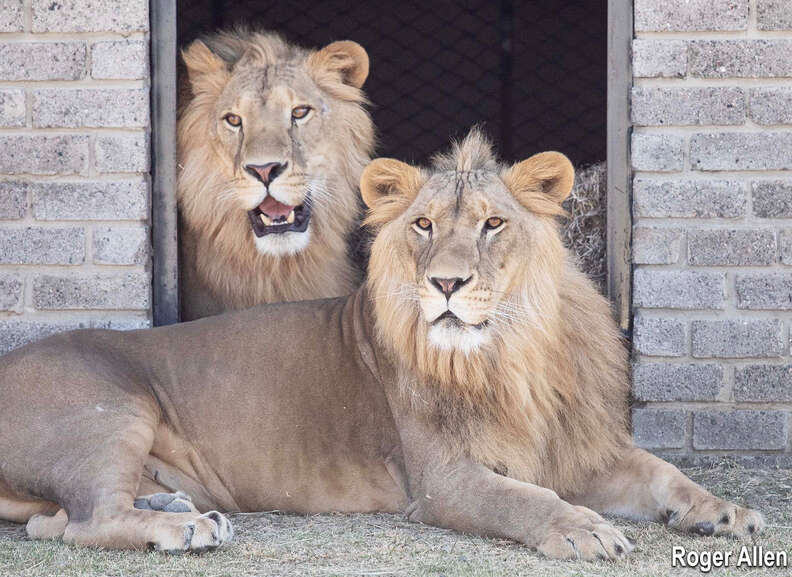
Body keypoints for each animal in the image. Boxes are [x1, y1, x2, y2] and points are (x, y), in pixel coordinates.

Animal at [0, 130, 763, 559]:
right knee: (84, 523)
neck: (509, 351)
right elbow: (524, 500)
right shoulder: (444, 478)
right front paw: (583, 529)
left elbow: (664, 472)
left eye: (492, 224)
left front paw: (725, 512)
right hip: (112, 409)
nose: (447, 282)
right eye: (423, 224)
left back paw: (181, 510)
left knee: (57, 521)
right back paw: (187, 530)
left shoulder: (576, 446)